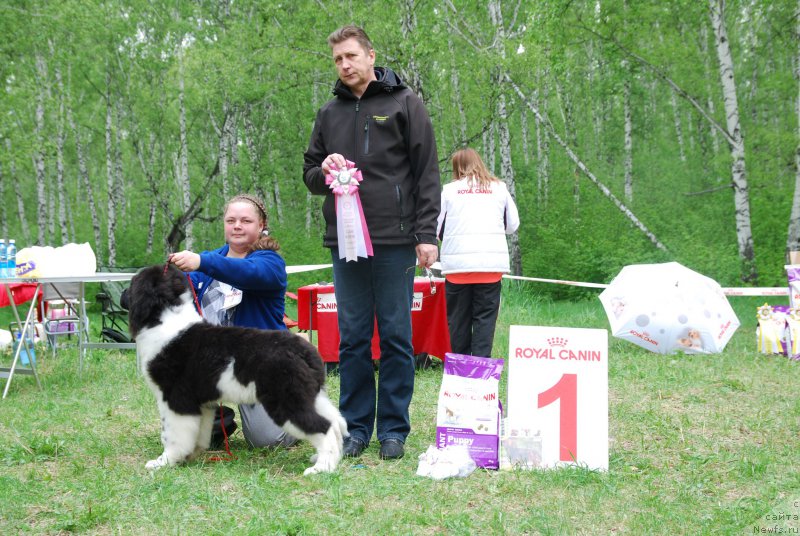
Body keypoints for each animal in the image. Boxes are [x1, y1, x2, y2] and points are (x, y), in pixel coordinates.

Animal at [121, 264, 346, 474]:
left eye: (132, 283)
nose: (123, 294)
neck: (166, 320)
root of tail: (304, 350)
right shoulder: (202, 403)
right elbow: (199, 433)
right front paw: (190, 456)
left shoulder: (175, 398)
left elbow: (172, 435)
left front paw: (164, 462)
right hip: (310, 395)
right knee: (334, 422)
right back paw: (325, 459)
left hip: (286, 400)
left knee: (323, 427)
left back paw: (321, 467)